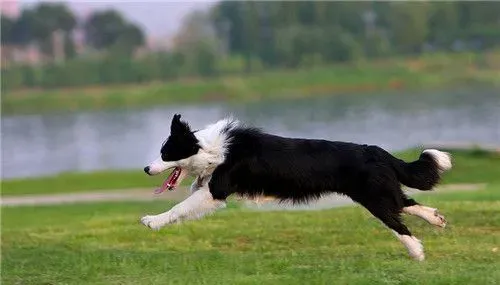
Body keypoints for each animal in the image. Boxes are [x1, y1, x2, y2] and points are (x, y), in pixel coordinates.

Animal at [143, 113, 452, 260]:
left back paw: (417, 252)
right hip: (381, 192)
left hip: (374, 198)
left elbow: (180, 207)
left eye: (165, 153)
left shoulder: (216, 191)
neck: (209, 148)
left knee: (398, 221)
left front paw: (152, 220)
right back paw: (436, 219)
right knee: (407, 203)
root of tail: (376, 151)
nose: (146, 169)